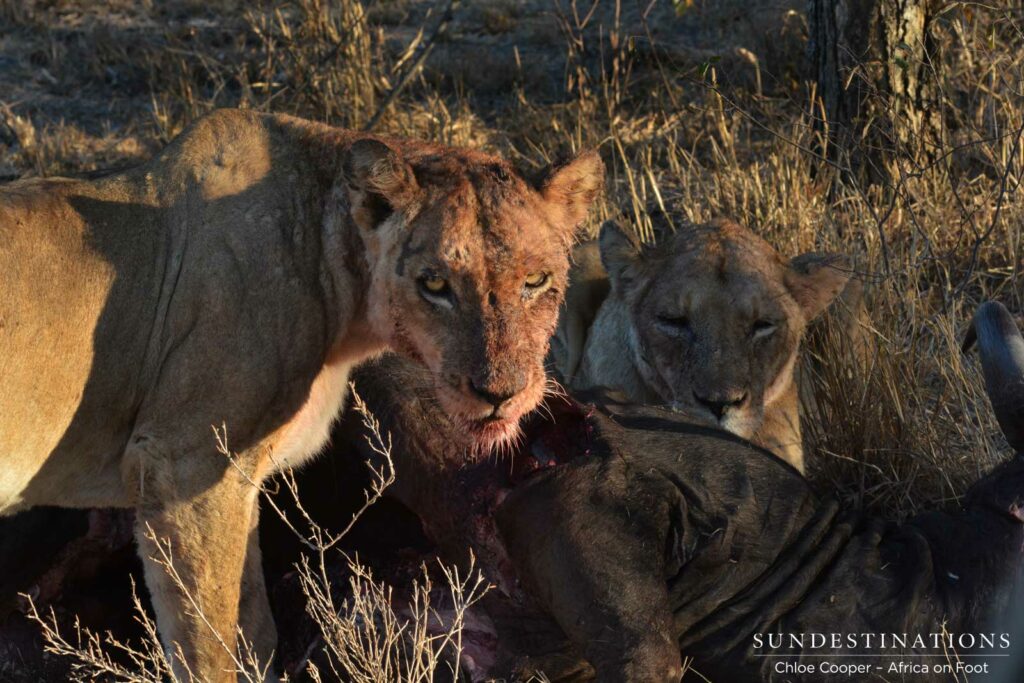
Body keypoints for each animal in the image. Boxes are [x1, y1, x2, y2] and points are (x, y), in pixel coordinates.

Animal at [0, 108, 603, 682]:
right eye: (435, 284)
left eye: (536, 282)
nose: (500, 392)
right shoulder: (182, 467)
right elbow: (210, 652)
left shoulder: (234, 481)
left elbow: (255, 632)